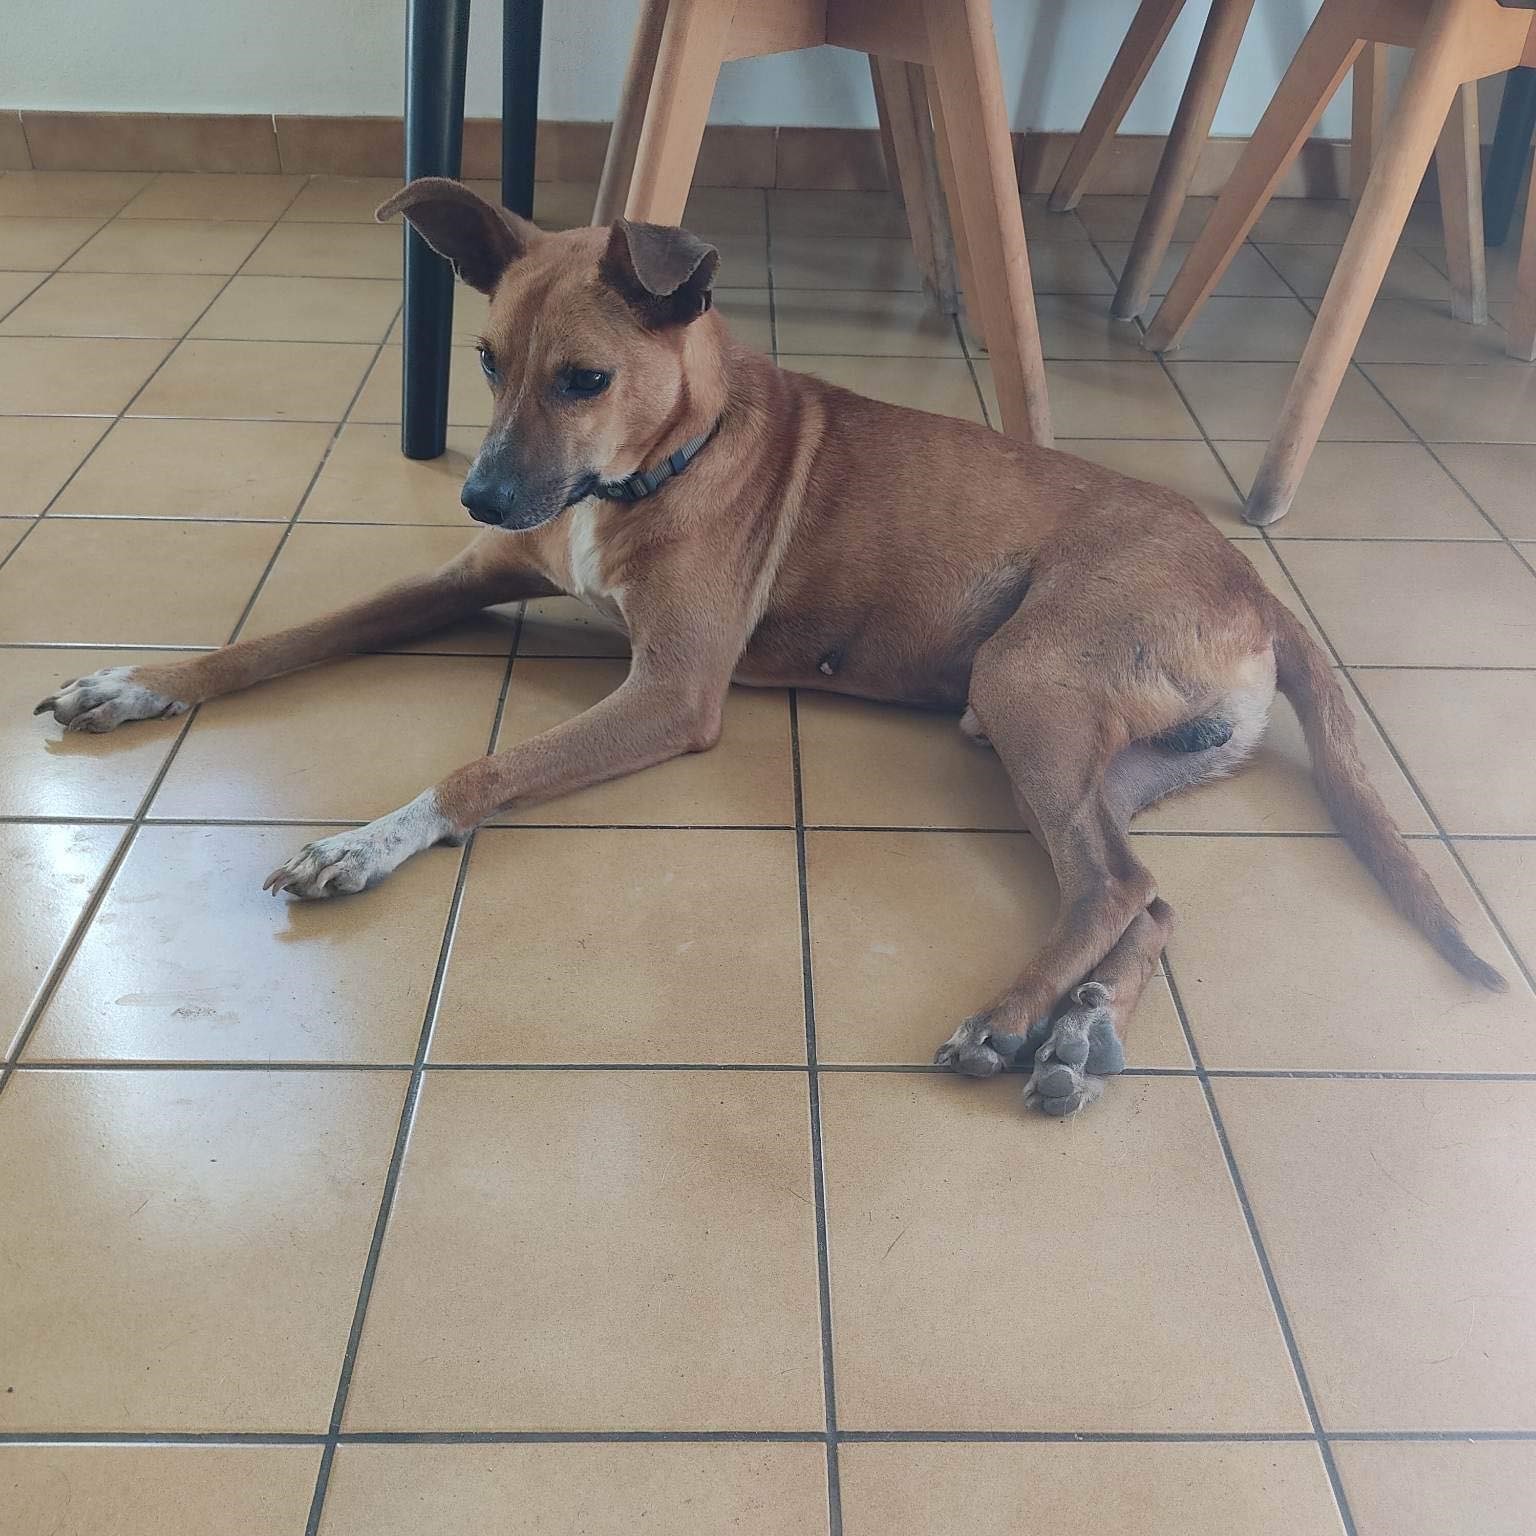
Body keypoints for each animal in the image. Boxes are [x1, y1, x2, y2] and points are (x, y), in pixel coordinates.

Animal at [36, 176, 1499, 1118]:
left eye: (584, 379)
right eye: (488, 359)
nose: (485, 497)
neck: (655, 465)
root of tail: (1256, 585)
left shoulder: (673, 692)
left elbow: (478, 772)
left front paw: (364, 842)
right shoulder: (461, 583)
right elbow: (283, 638)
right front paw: (143, 682)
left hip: (1026, 683)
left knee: (1110, 887)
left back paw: (1018, 1016)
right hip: (1093, 744)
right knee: (1152, 895)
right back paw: (1083, 1034)